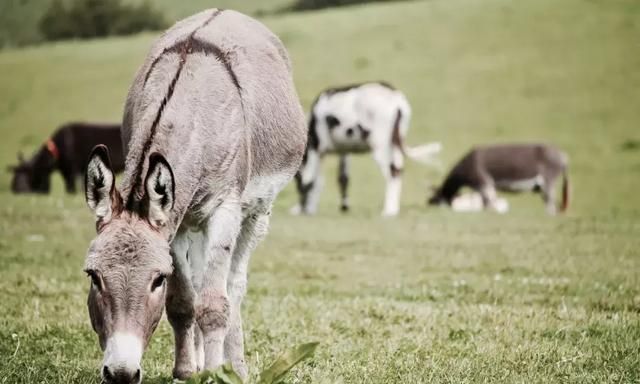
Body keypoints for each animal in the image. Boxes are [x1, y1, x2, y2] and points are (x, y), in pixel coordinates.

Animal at [294, 82, 440, 216]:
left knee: (392, 172)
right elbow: (340, 179)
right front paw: (342, 207)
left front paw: (303, 209)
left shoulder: (316, 148)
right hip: (395, 145)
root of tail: (395, 99)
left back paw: (389, 211)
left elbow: (310, 180)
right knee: (398, 170)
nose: (302, 208)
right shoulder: (344, 150)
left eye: (296, 179)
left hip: (380, 146)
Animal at [430, 144, 568, 214]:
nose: (428, 205)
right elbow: (486, 202)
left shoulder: (484, 183)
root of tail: (564, 156)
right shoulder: (482, 187)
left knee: (550, 204)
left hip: (548, 183)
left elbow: (489, 202)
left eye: (435, 198)